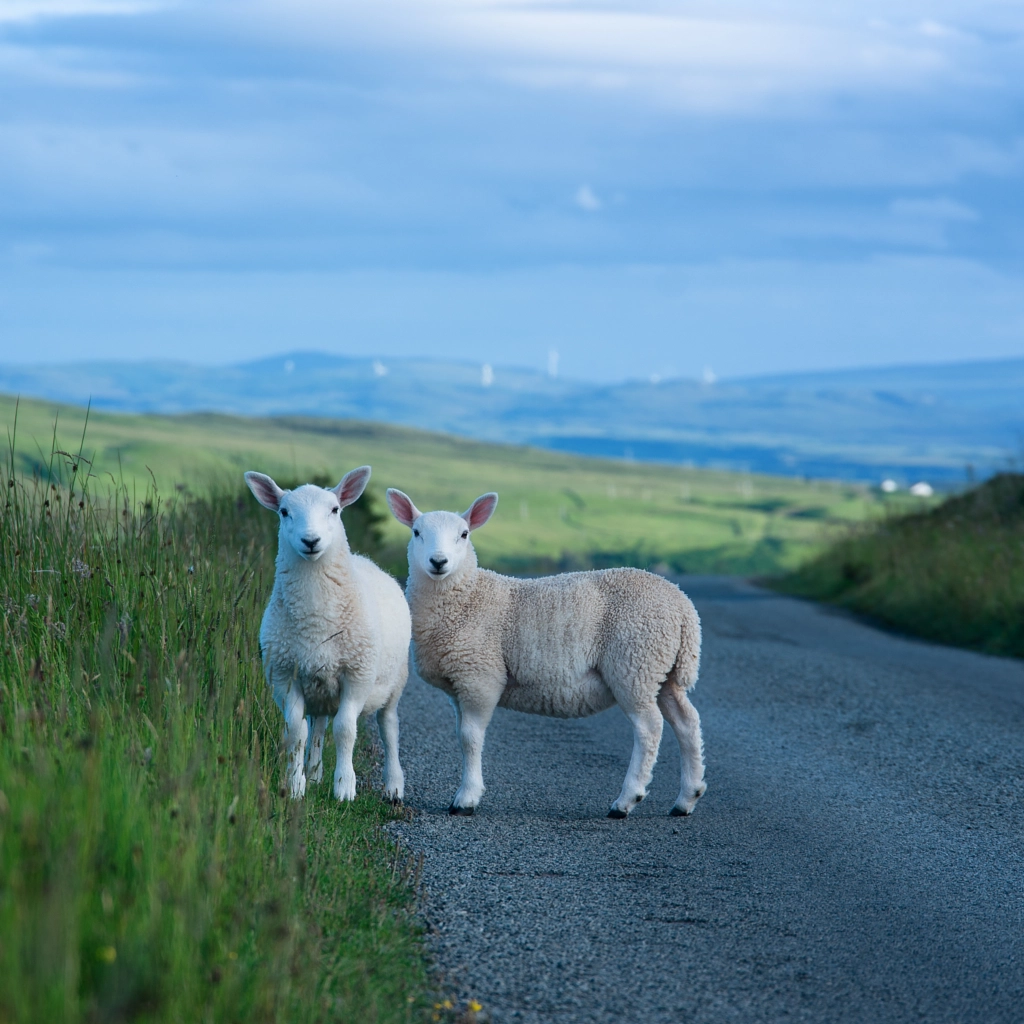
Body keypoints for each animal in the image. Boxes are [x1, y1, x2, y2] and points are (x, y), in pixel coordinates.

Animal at [245, 468, 409, 802]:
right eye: (284, 512)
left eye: (334, 509)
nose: (311, 540)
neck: (315, 621)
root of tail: (365, 560)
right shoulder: (286, 675)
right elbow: (296, 732)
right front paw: (295, 785)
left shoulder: (357, 675)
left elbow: (345, 730)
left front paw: (345, 787)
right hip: (319, 683)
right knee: (318, 726)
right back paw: (315, 772)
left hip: (394, 681)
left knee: (389, 727)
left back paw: (393, 785)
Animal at [385, 487, 704, 815]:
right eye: (416, 532)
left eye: (464, 534)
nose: (438, 561)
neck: (467, 597)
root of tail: (683, 606)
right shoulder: (458, 685)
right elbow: (462, 734)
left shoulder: (480, 677)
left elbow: (470, 738)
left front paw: (466, 798)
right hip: (661, 669)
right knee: (686, 722)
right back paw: (687, 797)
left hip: (634, 663)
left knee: (649, 727)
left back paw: (627, 799)